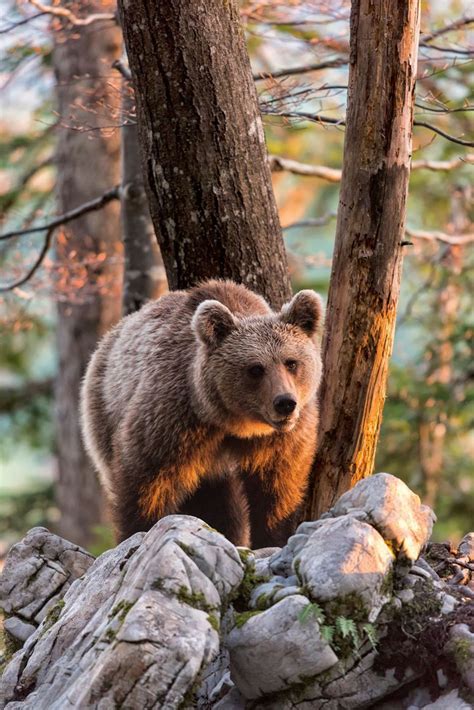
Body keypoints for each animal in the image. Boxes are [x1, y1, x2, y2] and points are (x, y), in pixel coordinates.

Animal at [81, 280, 324, 548]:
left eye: (291, 362)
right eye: (255, 369)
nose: (285, 403)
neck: (234, 422)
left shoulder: (280, 438)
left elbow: (277, 488)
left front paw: (273, 537)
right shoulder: (174, 417)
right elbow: (144, 479)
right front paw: (139, 530)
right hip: (103, 407)